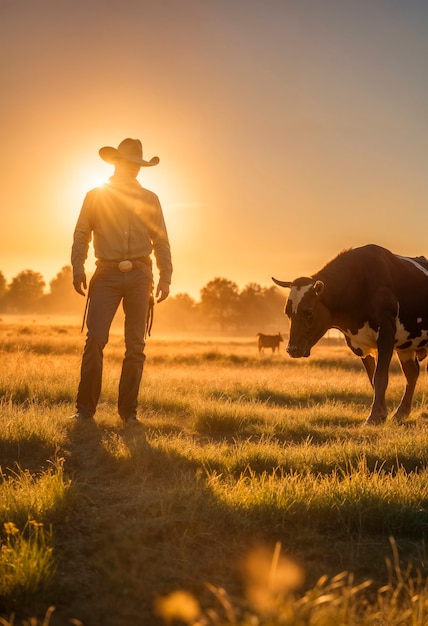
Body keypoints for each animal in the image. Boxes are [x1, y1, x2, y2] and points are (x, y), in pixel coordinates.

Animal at [272, 244, 428, 424]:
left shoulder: (386, 333)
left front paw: (374, 416)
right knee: (411, 373)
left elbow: (380, 376)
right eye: (287, 312)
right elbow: (372, 378)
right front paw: (382, 413)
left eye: (308, 312)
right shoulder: (358, 343)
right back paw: (401, 412)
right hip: (406, 346)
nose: (292, 349)